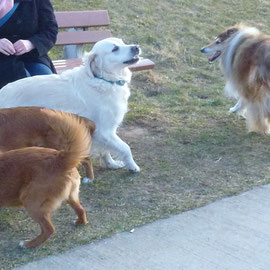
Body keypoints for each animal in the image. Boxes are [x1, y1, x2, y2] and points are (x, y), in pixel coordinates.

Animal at [0, 37, 141, 173]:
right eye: (115, 49)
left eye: (122, 42)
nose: (136, 47)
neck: (103, 79)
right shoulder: (103, 131)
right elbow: (125, 147)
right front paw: (133, 166)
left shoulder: (104, 132)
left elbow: (105, 151)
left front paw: (112, 164)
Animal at [0, 107, 93, 247]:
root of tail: (60, 159)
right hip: (70, 196)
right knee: (81, 210)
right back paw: (79, 222)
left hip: (31, 202)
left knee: (49, 229)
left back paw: (28, 244)